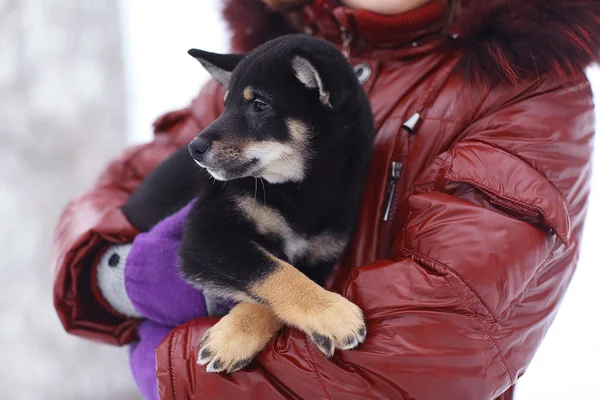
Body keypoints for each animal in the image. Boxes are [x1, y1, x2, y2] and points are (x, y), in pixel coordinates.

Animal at [179, 32, 376, 374]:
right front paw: (332, 313)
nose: (194, 148)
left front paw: (236, 334)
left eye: (259, 105)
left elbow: (281, 275)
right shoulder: (205, 233)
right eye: (225, 104)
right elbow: (270, 269)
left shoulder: (320, 254)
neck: (301, 190)